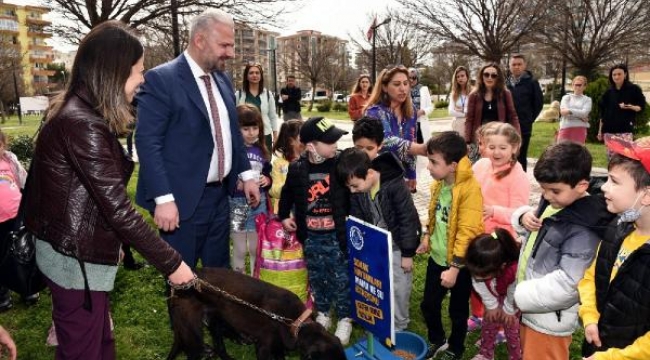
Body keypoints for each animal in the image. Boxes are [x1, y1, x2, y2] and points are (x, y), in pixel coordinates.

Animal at [170, 268, 346, 360]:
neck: (294, 322)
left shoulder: (278, 346)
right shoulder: (264, 348)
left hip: (215, 321)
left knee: (219, 344)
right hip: (191, 330)